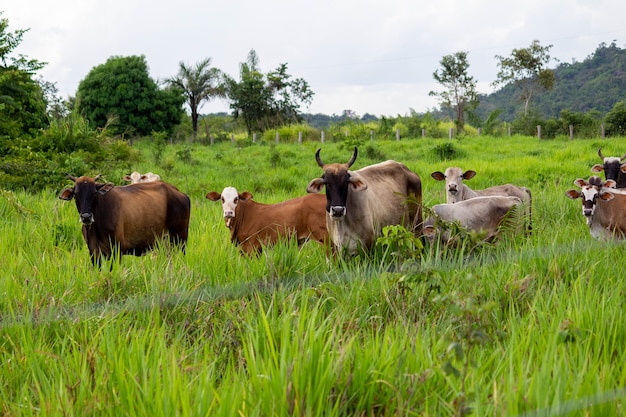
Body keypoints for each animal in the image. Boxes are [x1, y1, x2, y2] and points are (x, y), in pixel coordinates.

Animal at [59, 174, 190, 264]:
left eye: (94, 193)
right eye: (76, 194)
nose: (86, 217)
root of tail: (180, 193)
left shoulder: (117, 250)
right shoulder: (94, 252)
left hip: (180, 240)